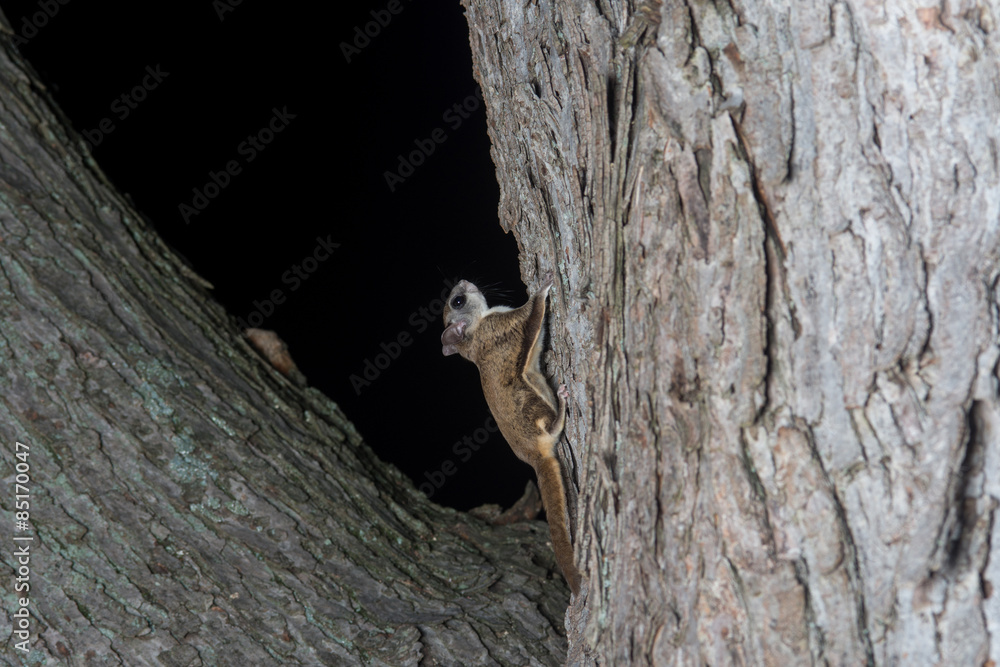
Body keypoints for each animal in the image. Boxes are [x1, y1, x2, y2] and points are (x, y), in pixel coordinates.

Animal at [441, 273, 582, 595]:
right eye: (458, 301)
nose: (463, 280)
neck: (477, 330)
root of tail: (534, 456)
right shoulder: (505, 327)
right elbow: (532, 314)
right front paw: (544, 287)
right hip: (531, 404)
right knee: (551, 425)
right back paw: (562, 407)